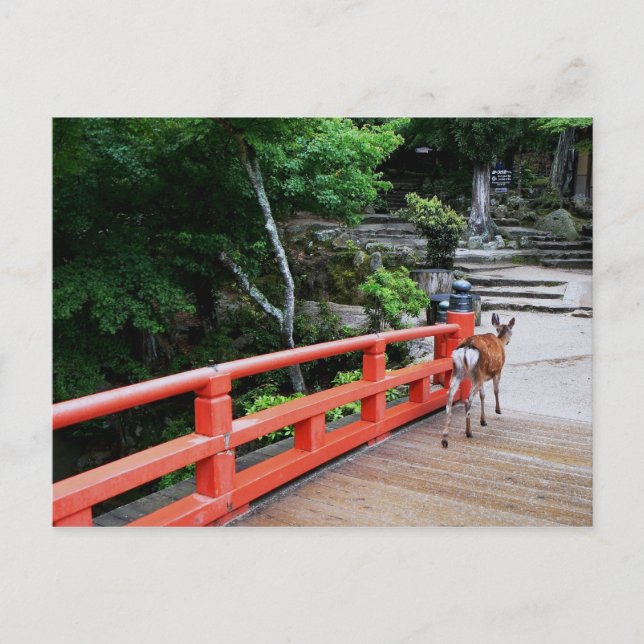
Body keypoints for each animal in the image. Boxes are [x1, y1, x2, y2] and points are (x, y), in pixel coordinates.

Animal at [442, 313, 515, 448]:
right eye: (511, 331)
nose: (508, 342)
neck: (500, 341)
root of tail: (466, 348)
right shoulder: (498, 371)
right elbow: (496, 390)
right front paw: (498, 410)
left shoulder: (484, 376)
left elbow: (482, 395)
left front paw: (483, 420)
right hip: (477, 373)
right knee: (468, 399)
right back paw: (469, 432)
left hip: (458, 372)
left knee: (449, 397)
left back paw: (445, 439)